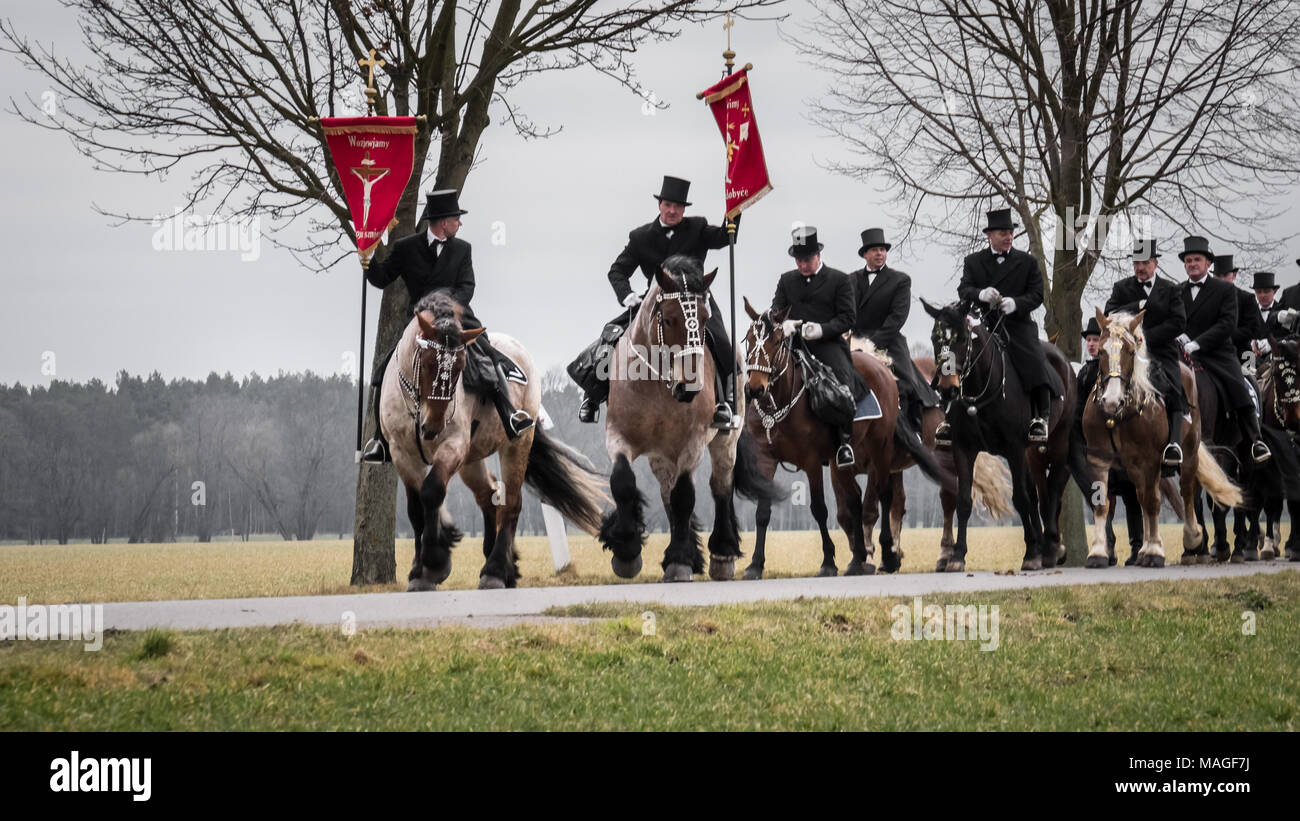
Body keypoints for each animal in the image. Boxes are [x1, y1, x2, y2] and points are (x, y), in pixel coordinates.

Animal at [379, 292, 608, 592]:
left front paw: (435, 562)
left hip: (514, 446)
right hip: (470, 460)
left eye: (460, 367)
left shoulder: (452, 446)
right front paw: (419, 571)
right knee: (488, 495)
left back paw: (496, 570)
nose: (433, 426)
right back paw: (502, 564)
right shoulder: (402, 454)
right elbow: (416, 508)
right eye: (427, 363)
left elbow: (432, 491)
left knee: (510, 502)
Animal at [600, 257, 780, 584]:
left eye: (706, 318)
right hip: (661, 455)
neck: (657, 384)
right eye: (670, 319)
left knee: (720, 487)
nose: (689, 386)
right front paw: (626, 550)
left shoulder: (693, 442)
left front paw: (680, 561)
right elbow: (623, 482)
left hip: (724, 442)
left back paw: (722, 554)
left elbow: (685, 496)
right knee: (666, 492)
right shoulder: (617, 436)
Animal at [920, 298, 1081, 574]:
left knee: (1053, 489)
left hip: (1058, 442)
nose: (948, 390)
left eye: (962, 338)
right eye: (935, 337)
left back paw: (1050, 547)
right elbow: (964, 500)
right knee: (1038, 492)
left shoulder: (1014, 449)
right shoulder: (963, 449)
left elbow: (1021, 499)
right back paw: (1042, 546)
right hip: (1031, 453)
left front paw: (1031, 554)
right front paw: (957, 556)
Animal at [1076, 306, 1237, 563]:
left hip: (1188, 452)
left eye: (1131, 351)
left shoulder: (1150, 459)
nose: (1111, 401)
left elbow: (1152, 502)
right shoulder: (1099, 460)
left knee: (1186, 490)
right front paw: (1099, 553)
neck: (1121, 413)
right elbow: (1102, 503)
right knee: (1143, 496)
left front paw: (1154, 551)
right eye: (1101, 351)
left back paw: (1192, 539)